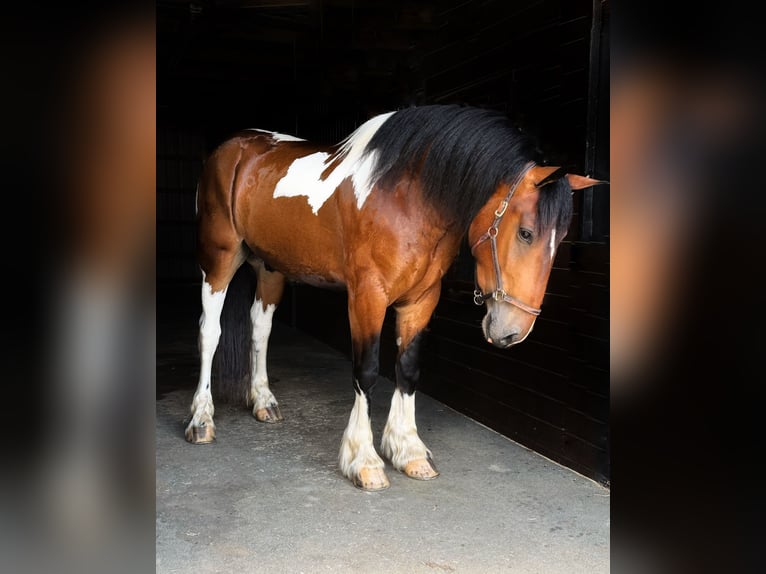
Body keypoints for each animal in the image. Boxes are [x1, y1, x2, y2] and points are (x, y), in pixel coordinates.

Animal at [185, 104, 600, 491]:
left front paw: (408, 451)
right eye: (526, 233)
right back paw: (201, 420)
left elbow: (409, 368)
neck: (408, 199)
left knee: (260, 328)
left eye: (561, 240)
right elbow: (367, 371)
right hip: (218, 260)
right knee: (209, 332)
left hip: (270, 267)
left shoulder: (421, 300)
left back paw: (263, 402)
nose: (512, 331)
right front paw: (364, 461)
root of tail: (235, 146)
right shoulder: (367, 297)